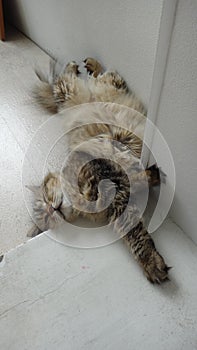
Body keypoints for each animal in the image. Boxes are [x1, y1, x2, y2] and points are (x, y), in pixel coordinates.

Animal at [28, 56, 170, 282]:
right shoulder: (118, 202)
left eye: (45, 198)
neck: (81, 198)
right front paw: (151, 263)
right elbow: (133, 234)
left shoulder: (106, 171)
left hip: (69, 91)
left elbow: (135, 173)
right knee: (99, 77)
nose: (52, 208)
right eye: (46, 217)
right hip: (92, 89)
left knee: (71, 77)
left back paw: (82, 65)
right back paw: (88, 67)